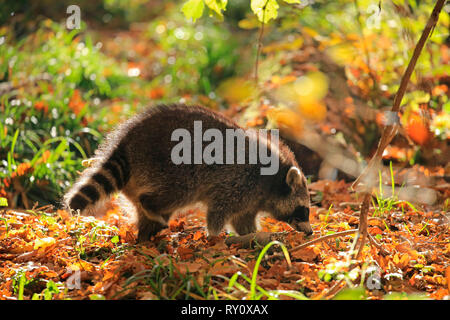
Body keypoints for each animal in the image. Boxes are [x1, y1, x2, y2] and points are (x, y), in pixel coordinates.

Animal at [63, 104, 312, 241]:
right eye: (303, 210)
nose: (310, 232)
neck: (272, 181)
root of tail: (127, 140)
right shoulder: (237, 182)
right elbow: (217, 214)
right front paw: (216, 236)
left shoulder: (249, 200)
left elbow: (242, 220)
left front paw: (251, 235)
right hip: (170, 167)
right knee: (175, 193)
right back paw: (152, 207)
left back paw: (145, 236)